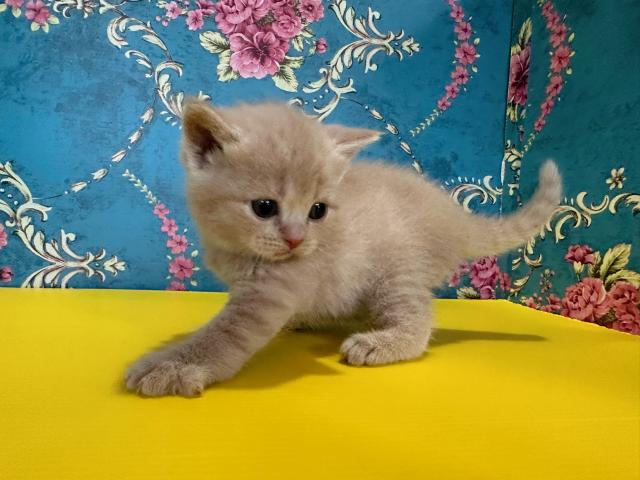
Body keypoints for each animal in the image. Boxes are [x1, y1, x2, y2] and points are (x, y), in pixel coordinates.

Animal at [125, 100, 562, 397]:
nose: (297, 238)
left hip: (398, 269)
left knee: (418, 319)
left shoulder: (270, 294)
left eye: (317, 210)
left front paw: (174, 366)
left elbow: (226, 335)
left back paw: (382, 342)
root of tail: (452, 216)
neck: (237, 249)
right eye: (264, 207)